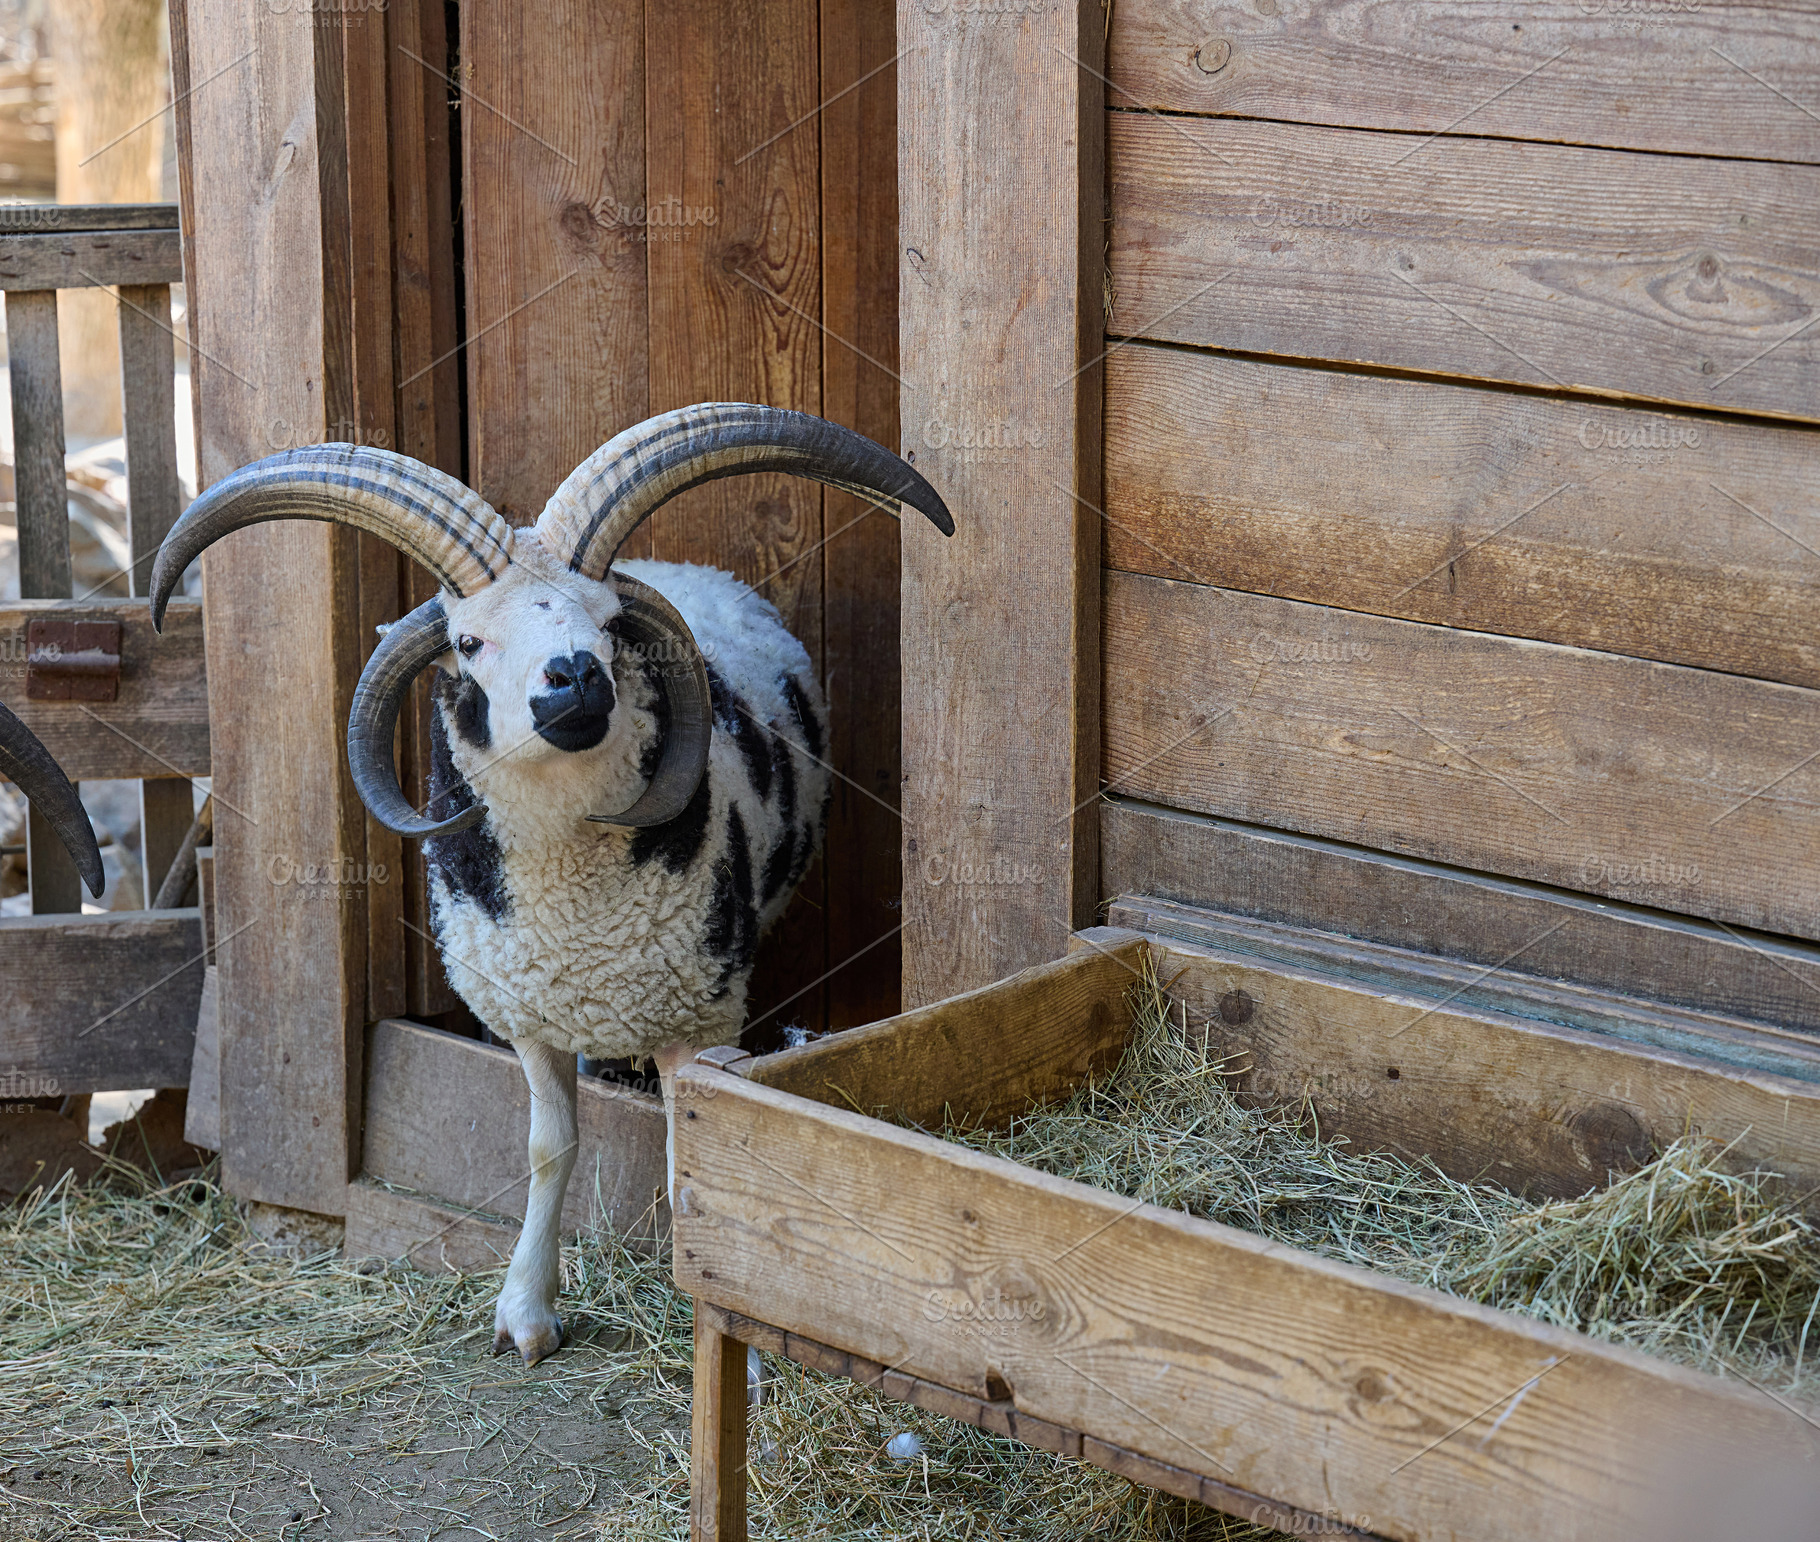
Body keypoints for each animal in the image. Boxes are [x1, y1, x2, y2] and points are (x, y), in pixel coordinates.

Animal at [149, 403, 952, 1363]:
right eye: (467, 640)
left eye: (606, 625)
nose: (574, 678)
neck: (573, 907)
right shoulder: (528, 1014)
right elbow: (548, 1147)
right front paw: (526, 1312)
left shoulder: (701, 1015)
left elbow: (697, 1159)